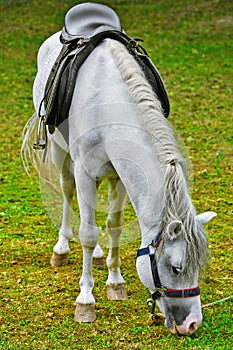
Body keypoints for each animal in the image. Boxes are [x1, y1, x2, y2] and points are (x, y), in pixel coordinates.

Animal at [22, 26, 216, 334]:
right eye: (176, 268)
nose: (192, 324)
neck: (107, 106)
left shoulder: (121, 175)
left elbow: (113, 226)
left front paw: (115, 282)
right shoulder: (84, 171)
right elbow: (88, 233)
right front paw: (85, 300)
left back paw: (98, 256)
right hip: (60, 152)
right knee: (67, 191)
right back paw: (61, 248)